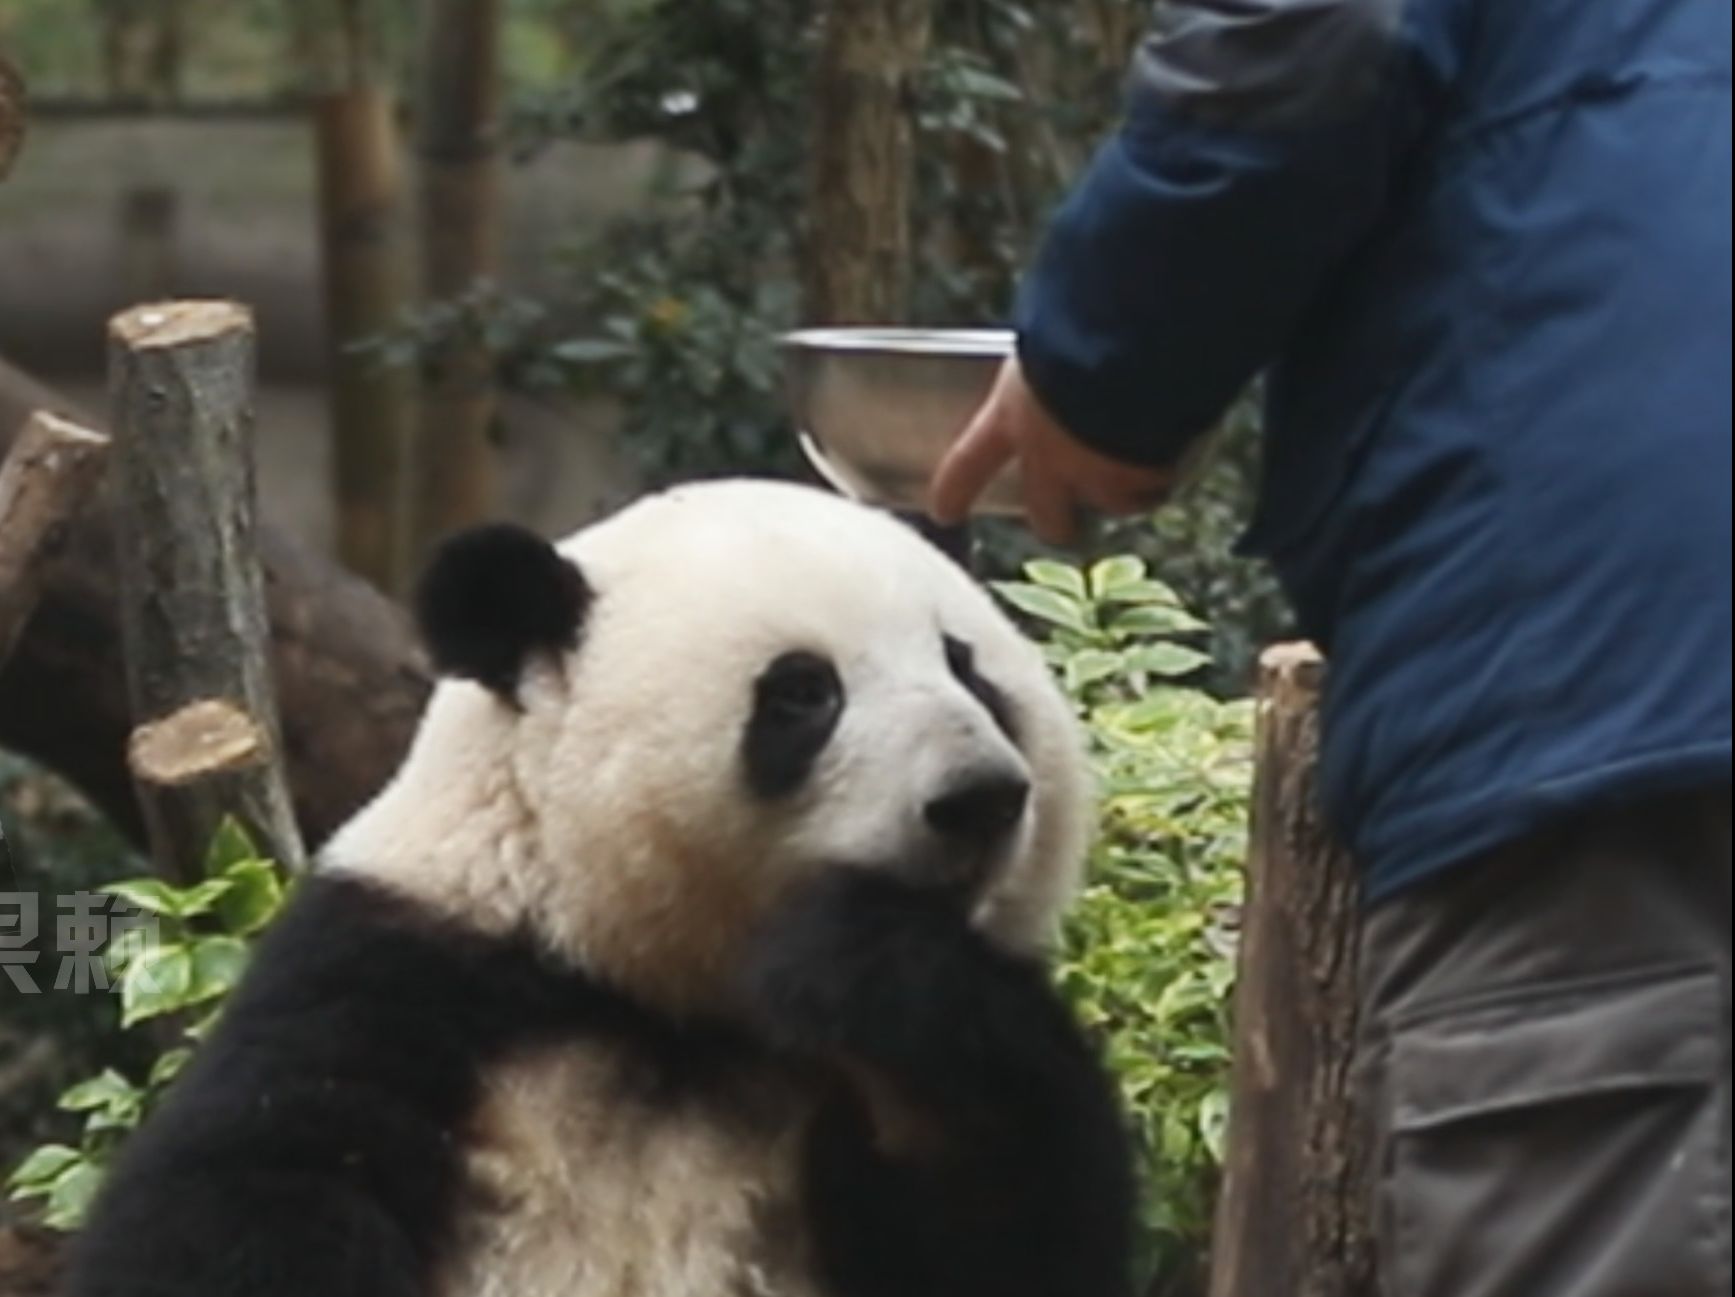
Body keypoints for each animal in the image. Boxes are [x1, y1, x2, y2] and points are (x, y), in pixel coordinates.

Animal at [67, 478, 1138, 1297]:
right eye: (803, 691)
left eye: (969, 669)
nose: (980, 797)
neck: (669, 1008)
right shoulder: (406, 971)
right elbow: (242, 1198)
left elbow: (1012, 1226)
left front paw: (881, 971)